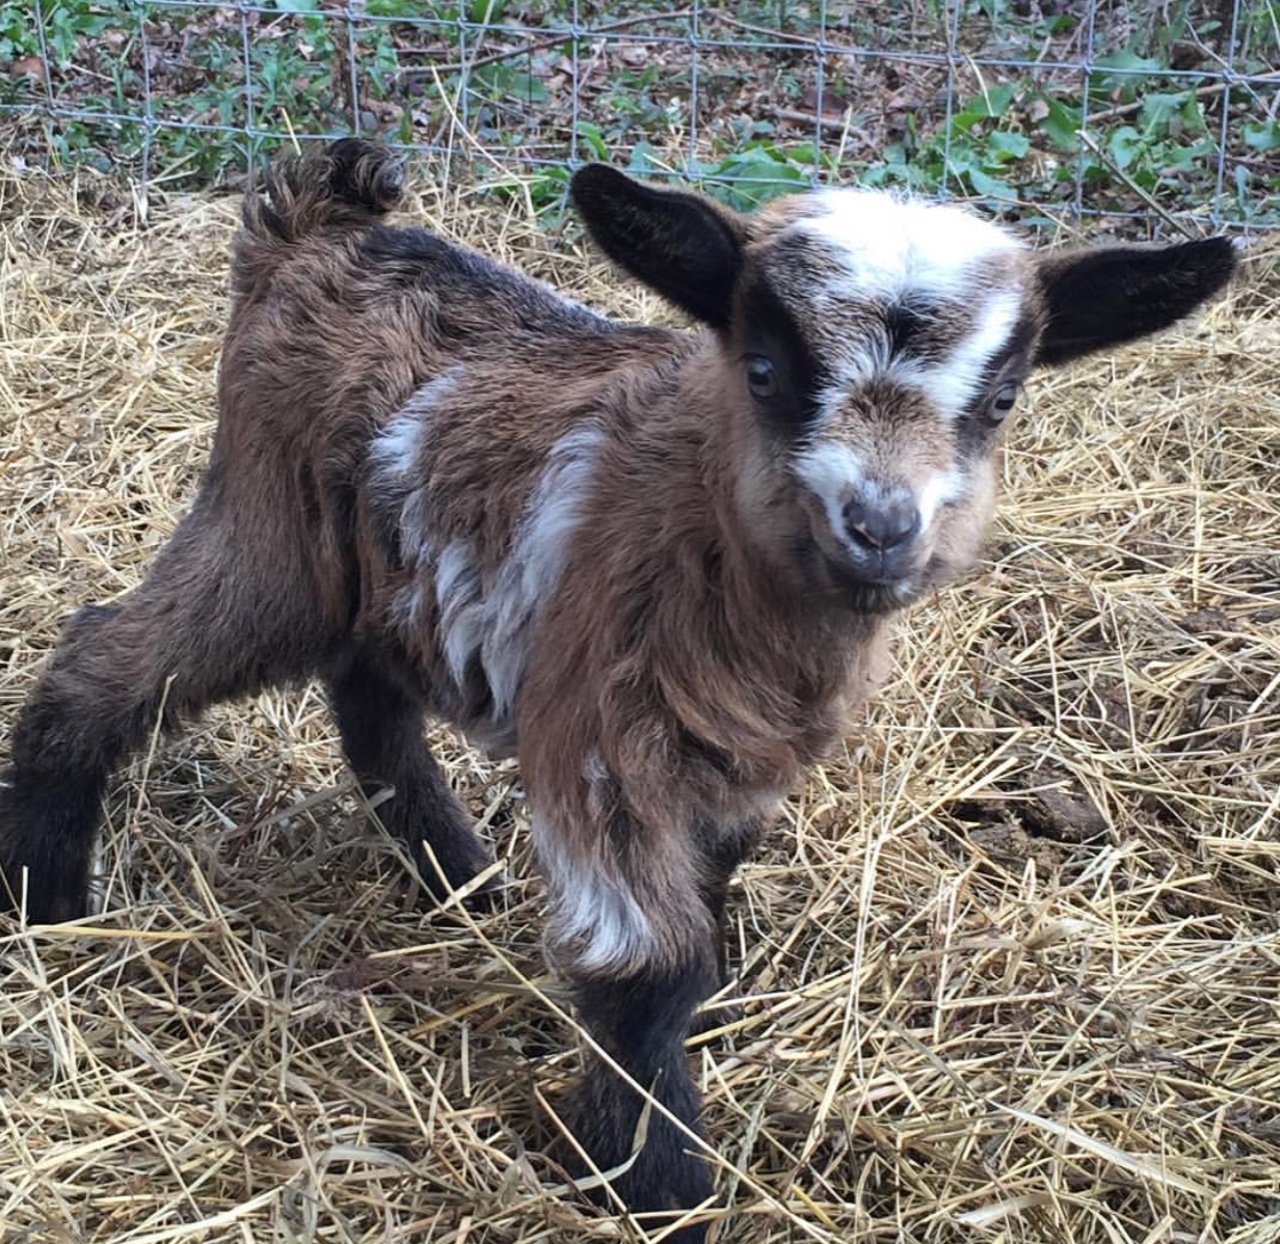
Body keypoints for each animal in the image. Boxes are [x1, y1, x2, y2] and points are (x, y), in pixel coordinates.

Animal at [0, 138, 1236, 1239]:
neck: (703, 530)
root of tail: (320, 224)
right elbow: (649, 962)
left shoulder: (738, 760)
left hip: (384, 574)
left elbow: (711, 888)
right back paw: (46, 893)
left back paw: (458, 878)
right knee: (108, 655)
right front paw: (659, 1184)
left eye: (1002, 398)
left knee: (365, 692)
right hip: (269, 534)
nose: (879, 528)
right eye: (765, 368)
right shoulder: (602, 742)